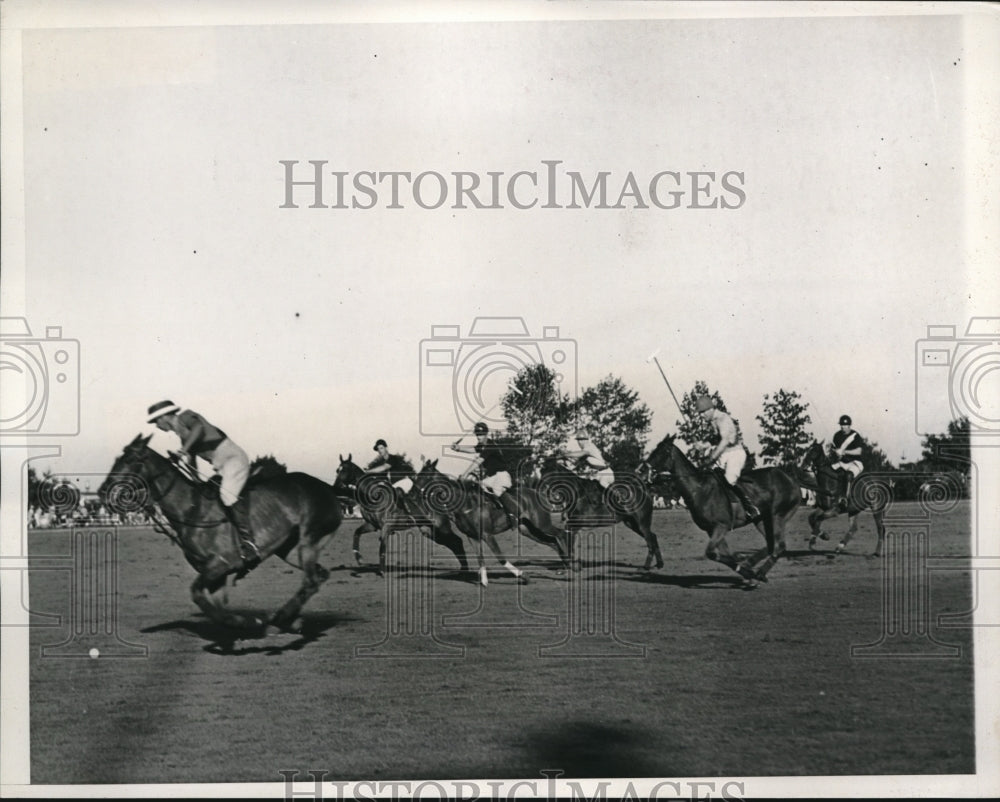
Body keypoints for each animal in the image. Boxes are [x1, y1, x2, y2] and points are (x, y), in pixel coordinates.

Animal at [98, 432, 344, 632]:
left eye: (129, 460)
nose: (102, 492)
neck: (191, 510)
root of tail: (329, 488)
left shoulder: (221, 563)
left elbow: (196, 593)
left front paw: (249, 622)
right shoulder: (214, 574)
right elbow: (216, 609)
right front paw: (242, 623)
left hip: (309, 538)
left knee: (311, 579)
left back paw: (281, 617)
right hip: (289, 549)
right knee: (319, 576)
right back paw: (290, 620)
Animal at [330, 454, 466, 572]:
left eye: (345, 470)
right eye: (337, 470)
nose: (336, 486)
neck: (373, 496)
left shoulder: (386, 526)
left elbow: (382, 546)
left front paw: (382, 571)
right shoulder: (372, 525)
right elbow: (357, 533)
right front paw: (359, 559)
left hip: (441, 527)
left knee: (457, 541)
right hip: (429, 530)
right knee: (454, 543)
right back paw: (462, 568)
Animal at [410, 460, 572, 584]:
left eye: (424, 475)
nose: (411, 494)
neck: (466, 505)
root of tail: (538, 493)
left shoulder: (487, 535)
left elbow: (500, 558)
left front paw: (523, 575)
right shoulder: (473, 537)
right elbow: (480, 558)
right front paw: (483, 581)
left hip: (541, 524)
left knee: (560, 533)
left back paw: (570, 565)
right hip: (527, 529)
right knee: (553, 542)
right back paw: (564, 566)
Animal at [644, 434, 800, 584]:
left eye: (661, 452)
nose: (643, 470)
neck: (699, 490)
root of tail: (791, 479)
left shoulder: (721, 526)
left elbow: (712, 554)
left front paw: (748, 573)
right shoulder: (711, 529)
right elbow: (727, 555)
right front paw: (746, 572)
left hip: (778, 515)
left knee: (779, 546)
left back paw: (760, 573)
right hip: (762, 519)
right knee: (770, 544)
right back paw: (751, 565)